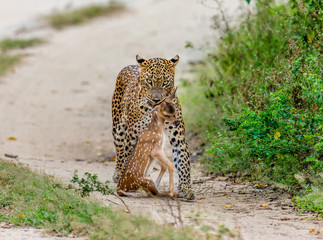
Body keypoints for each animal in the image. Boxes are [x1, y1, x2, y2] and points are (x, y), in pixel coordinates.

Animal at [112, 55, 196, 200]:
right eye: (149, 82)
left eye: (165, 82)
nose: (156, 100)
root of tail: (130, 66)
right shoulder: (133, 135)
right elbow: (130, 159)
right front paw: (126, 181)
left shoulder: (178, 138)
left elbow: (183, 162)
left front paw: (186, 188)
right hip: (118, 129)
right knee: (120, 151)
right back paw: (118, 174)